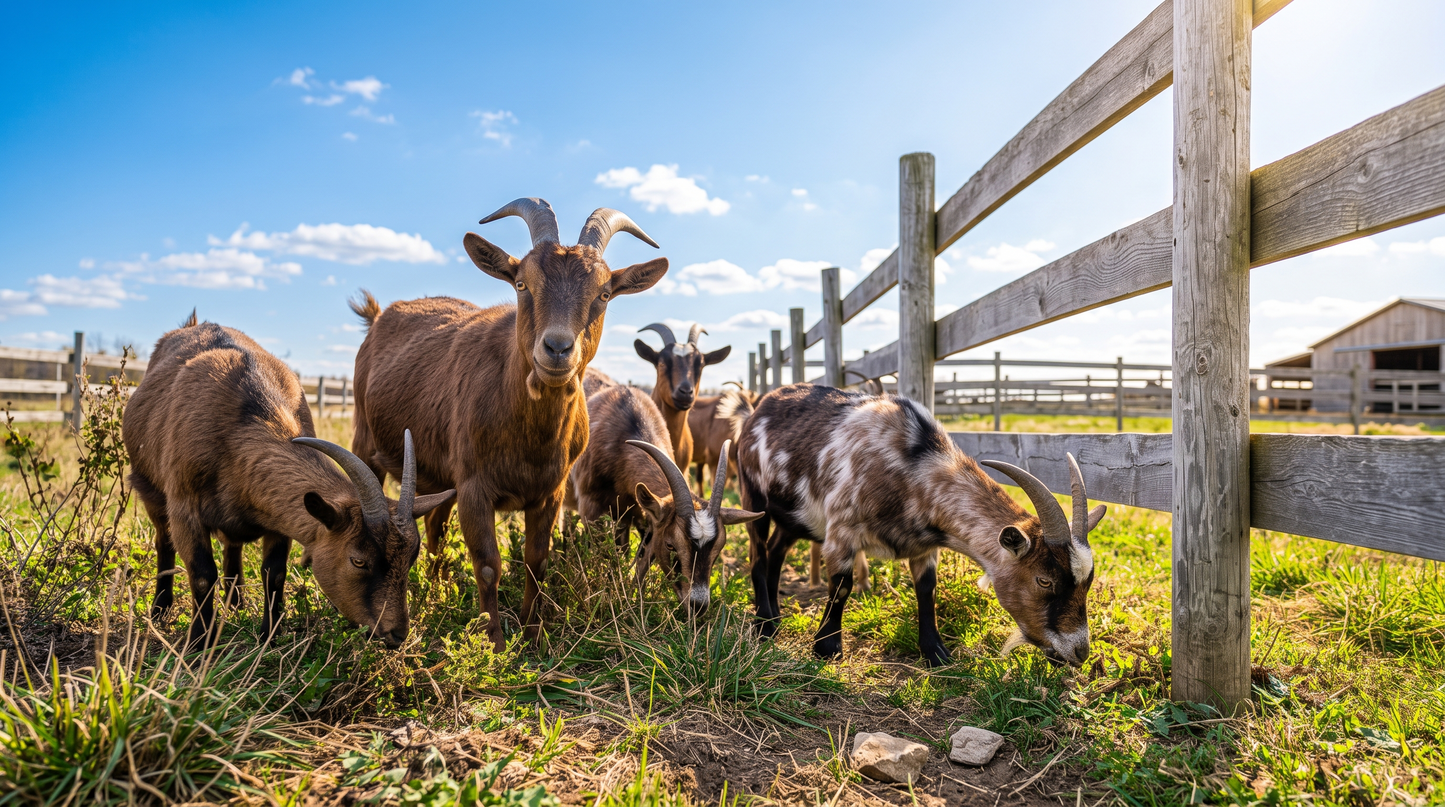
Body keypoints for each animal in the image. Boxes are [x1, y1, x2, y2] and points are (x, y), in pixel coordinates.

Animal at [123, 319, 453, 650]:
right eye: (358, 561)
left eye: (411, 558)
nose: (397, 634)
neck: (239, 430)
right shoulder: (184, 508)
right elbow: (203, 574)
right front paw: (198, 644)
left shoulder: (278, 519)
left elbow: (275, 573)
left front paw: (269, 637)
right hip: (150, 490)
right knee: (163, 541)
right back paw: (161, 609)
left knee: (232, 546)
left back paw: (236, 603)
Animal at [350, 199, 668, 649]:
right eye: (522, 284)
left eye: (604, 294)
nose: (557, 348)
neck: (529, 436)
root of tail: (378, 318)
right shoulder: (473, 486)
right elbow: (487, 564)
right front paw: (495, 643)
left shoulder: (551, 491)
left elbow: (537, 559)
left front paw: (533, 636)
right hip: (366, 441)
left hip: (437, 473)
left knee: (434, 526)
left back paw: (438, 590)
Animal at [569, 384, 761, 612]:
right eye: (671, 545)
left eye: (719, 547)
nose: (698, 605)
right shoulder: (591, 509)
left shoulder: (648, 519)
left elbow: (643, 562)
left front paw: (634, 600)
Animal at [737, 384, 1105, 667]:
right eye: (1044, 580)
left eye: (1087, 583)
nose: (1079, 652)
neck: (912, 465)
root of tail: (758, 406)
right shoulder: (841, 531)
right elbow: (841, 585)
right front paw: (827, 648)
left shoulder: (923, 546)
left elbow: (927, 589)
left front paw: (936, 652)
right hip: (753, 496)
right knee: (758, 554)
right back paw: (764, 625)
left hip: (795, 517)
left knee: (776, 551)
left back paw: (774, 615)